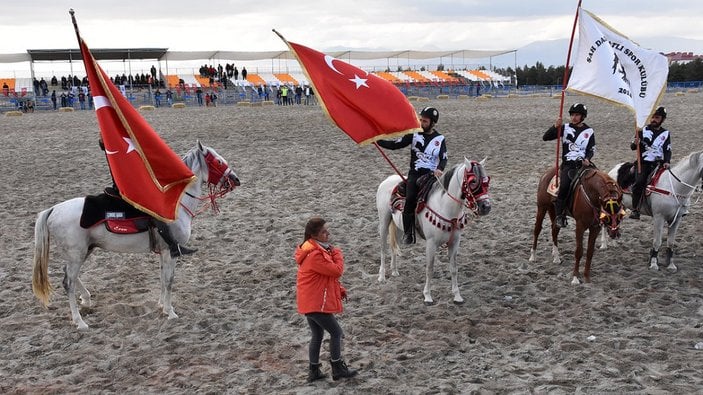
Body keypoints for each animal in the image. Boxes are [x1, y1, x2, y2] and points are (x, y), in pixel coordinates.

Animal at [31, 142, 241, 332]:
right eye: (218, 161)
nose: (236, 179)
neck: (175, 205)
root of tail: (54, 209)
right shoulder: (170, 252)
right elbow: (169, 280)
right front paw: (170, 312)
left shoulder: (163, 252)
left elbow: (163, 278)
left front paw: (161, 306)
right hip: (76, 254)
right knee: (68, 282)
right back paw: (80, 322)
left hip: (82, 252)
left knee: (69, 277)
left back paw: (86, 298)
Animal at [376, 158, 492, 306]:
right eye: (473, 181)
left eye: (486, 180)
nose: (486, 207)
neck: (446, 207)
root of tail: (388, 179)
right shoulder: (431, 243)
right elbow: (429, 269)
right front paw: (427, 296)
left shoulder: (455, 242)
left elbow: (454, 269)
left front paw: (457, 296)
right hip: (384, 222)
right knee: (383, 248)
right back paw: (382, 276)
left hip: (399, 228)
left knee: (393, 247)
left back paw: (395, 271)